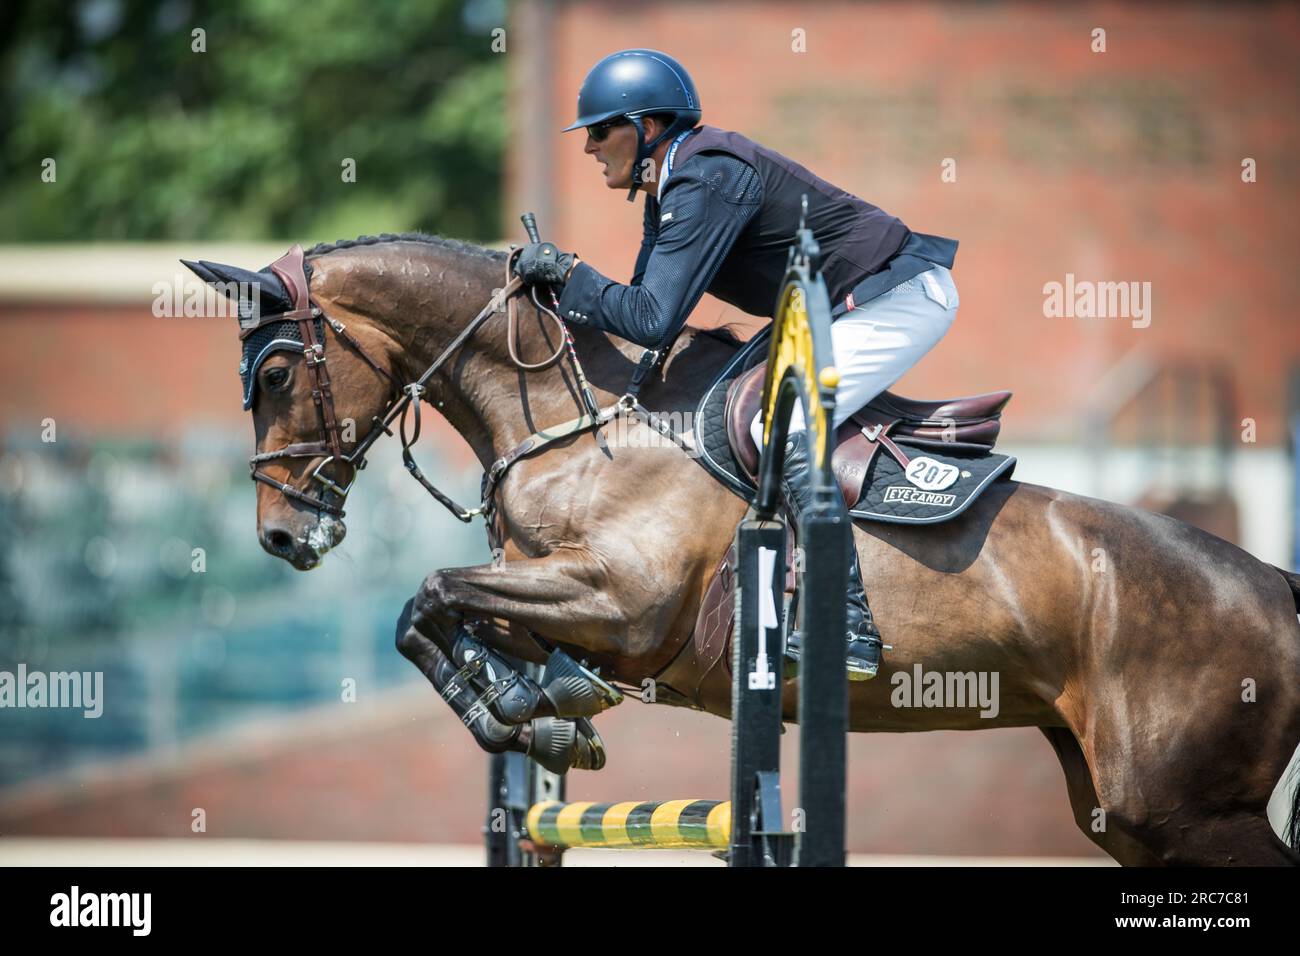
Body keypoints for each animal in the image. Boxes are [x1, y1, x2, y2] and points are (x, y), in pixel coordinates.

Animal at [185, 231, 1300, 868]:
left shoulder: (620, 601)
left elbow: (429, 592)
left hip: (1183, 809)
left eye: (275, 373)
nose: (282, 534)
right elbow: (441, 612)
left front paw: (524, 708)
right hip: (1125, 814)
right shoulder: (551, 594)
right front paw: (535, 710)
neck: (576, 418)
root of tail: (1276, 587)